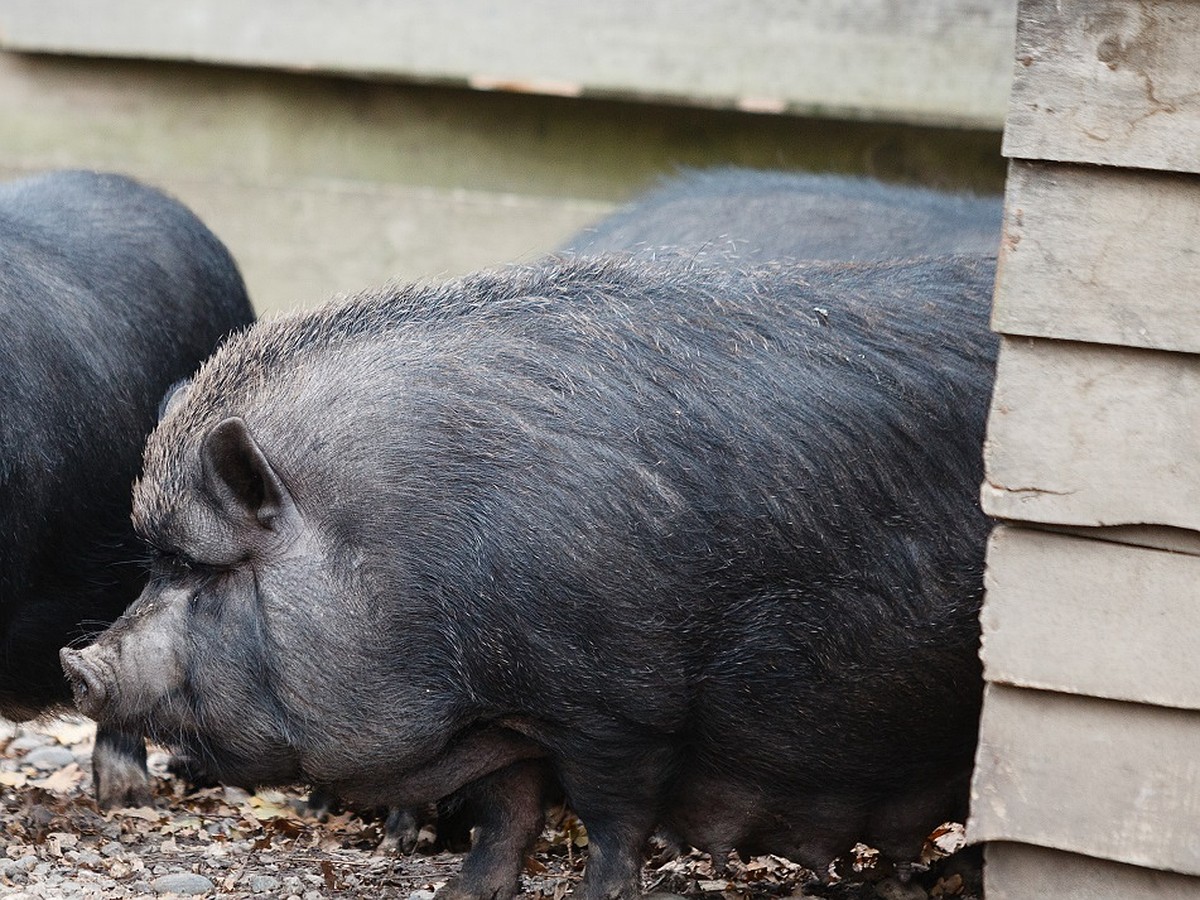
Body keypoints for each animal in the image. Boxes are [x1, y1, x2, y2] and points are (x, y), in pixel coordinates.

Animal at [68, 250, 1003, 897]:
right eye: (155, 566)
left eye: (207, 570)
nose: (77, 665)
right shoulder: (501, 718)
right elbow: (507, 811)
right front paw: (462, 892)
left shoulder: (619, 706)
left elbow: (613, 819)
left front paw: (598, 895)